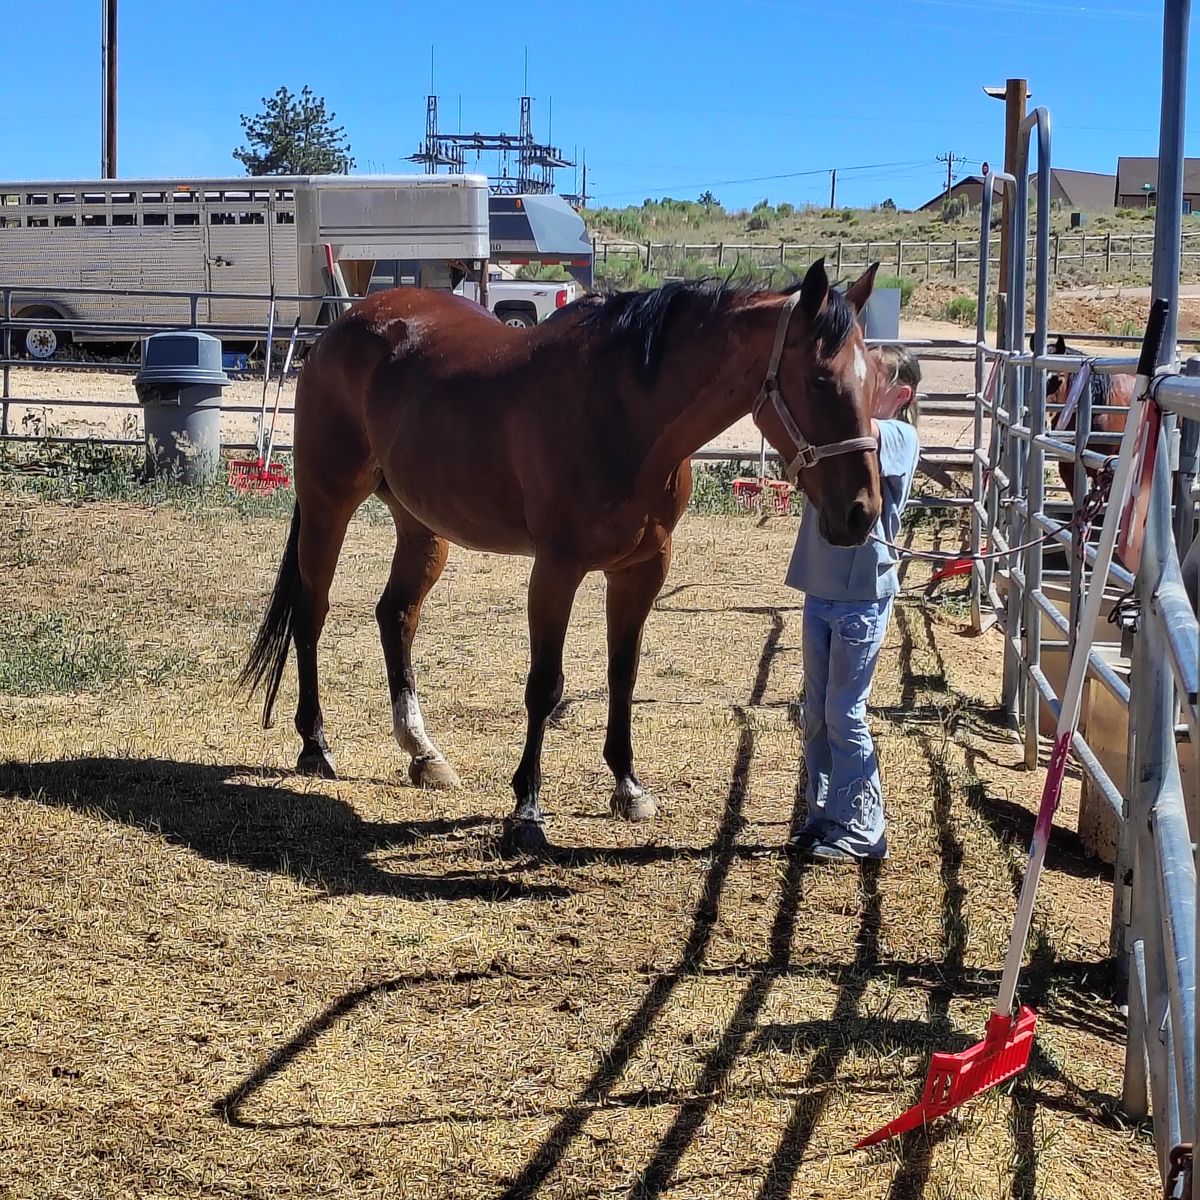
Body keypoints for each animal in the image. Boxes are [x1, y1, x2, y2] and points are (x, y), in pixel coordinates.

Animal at [238, 258, 885, 853]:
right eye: (821, 380)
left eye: (874, 379)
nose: (862, 512)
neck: (625, 410)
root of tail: (343, 326)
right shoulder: (556, 569)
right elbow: (545, 686)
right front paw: (526, 809)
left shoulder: (643, 570)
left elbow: (623, 674)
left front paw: (627, 786)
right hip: (328, 502)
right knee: (312, 612)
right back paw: (315, 744)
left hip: (422, 526)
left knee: (396, 615)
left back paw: (423, 752)